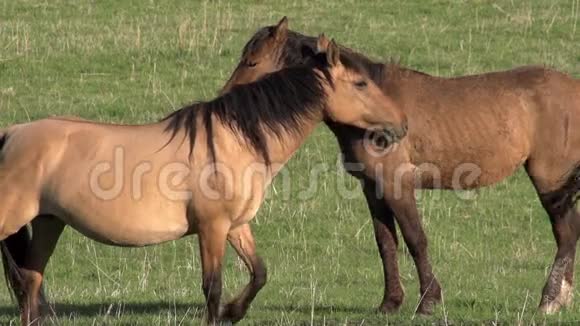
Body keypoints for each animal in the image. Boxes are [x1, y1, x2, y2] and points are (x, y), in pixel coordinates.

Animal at [220, 17, 580, 316]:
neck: (372, 109)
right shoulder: (373, 187)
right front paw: (390, 302)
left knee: (565, 234)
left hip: (550, 179)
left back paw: (549, 300)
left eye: (252, 61)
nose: (225, 100)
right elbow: (386, 243)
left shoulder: (397, 184)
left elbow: (415, 238)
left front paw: (428, 302)